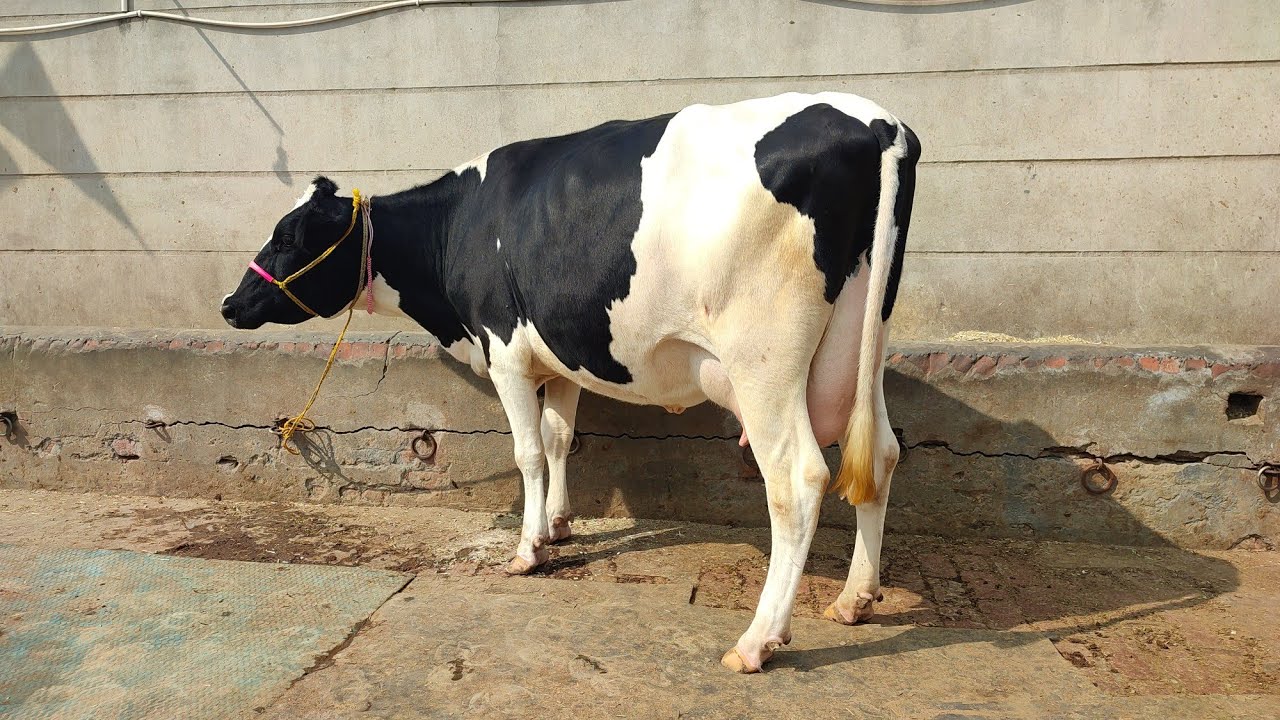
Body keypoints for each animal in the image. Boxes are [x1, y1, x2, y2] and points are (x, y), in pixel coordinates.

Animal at [220, 92, 920, 673]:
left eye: (288, 235)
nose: (230, 304)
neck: (459, 227)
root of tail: (875, 120)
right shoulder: (560, 355)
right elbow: (560, 438)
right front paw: (557, 524)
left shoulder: (504, 348)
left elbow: (528, 452)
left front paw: (529, 548)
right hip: (863, 343)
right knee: (882, 455)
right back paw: (856, 599)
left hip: (764, 359)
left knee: (797, 480)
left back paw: (757, 641)